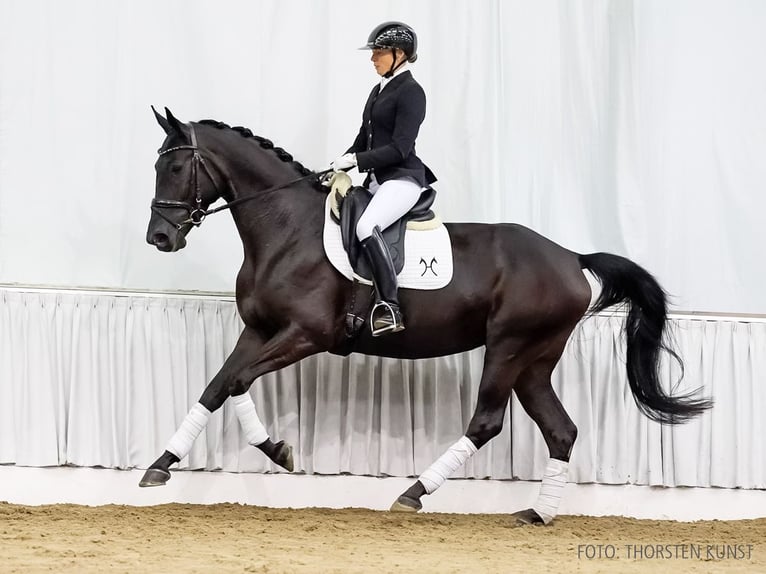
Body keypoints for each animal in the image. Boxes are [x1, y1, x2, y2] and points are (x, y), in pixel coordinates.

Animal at [141, 108, 712, 528]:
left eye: (176, 168)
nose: (160, 238)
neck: (285, 230)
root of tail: (571, 257)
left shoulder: (307, 334)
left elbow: (238, 381)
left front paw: (277, 450)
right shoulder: (258, 330)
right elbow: (217, 387)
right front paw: (159, 466)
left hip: (510, 347)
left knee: (487, 421)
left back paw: (414, 493)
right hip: (534, 361)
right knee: (561, 430)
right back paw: (537, 514)